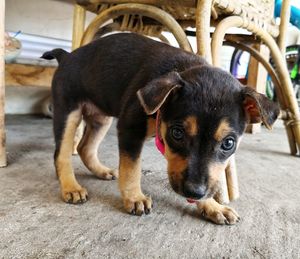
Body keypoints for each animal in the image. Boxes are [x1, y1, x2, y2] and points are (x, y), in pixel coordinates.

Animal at [41, 33, 278, 225]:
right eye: (177, 133)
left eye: (229, 143)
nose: (194, 191)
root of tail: (66, 56)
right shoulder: (130, 127)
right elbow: (131, 168)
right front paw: (134, 198)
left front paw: (212, 206)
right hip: (68, 111)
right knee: (61, 153)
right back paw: (71, 187)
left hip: (101, 117)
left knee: (85, 147)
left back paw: (101, 171)